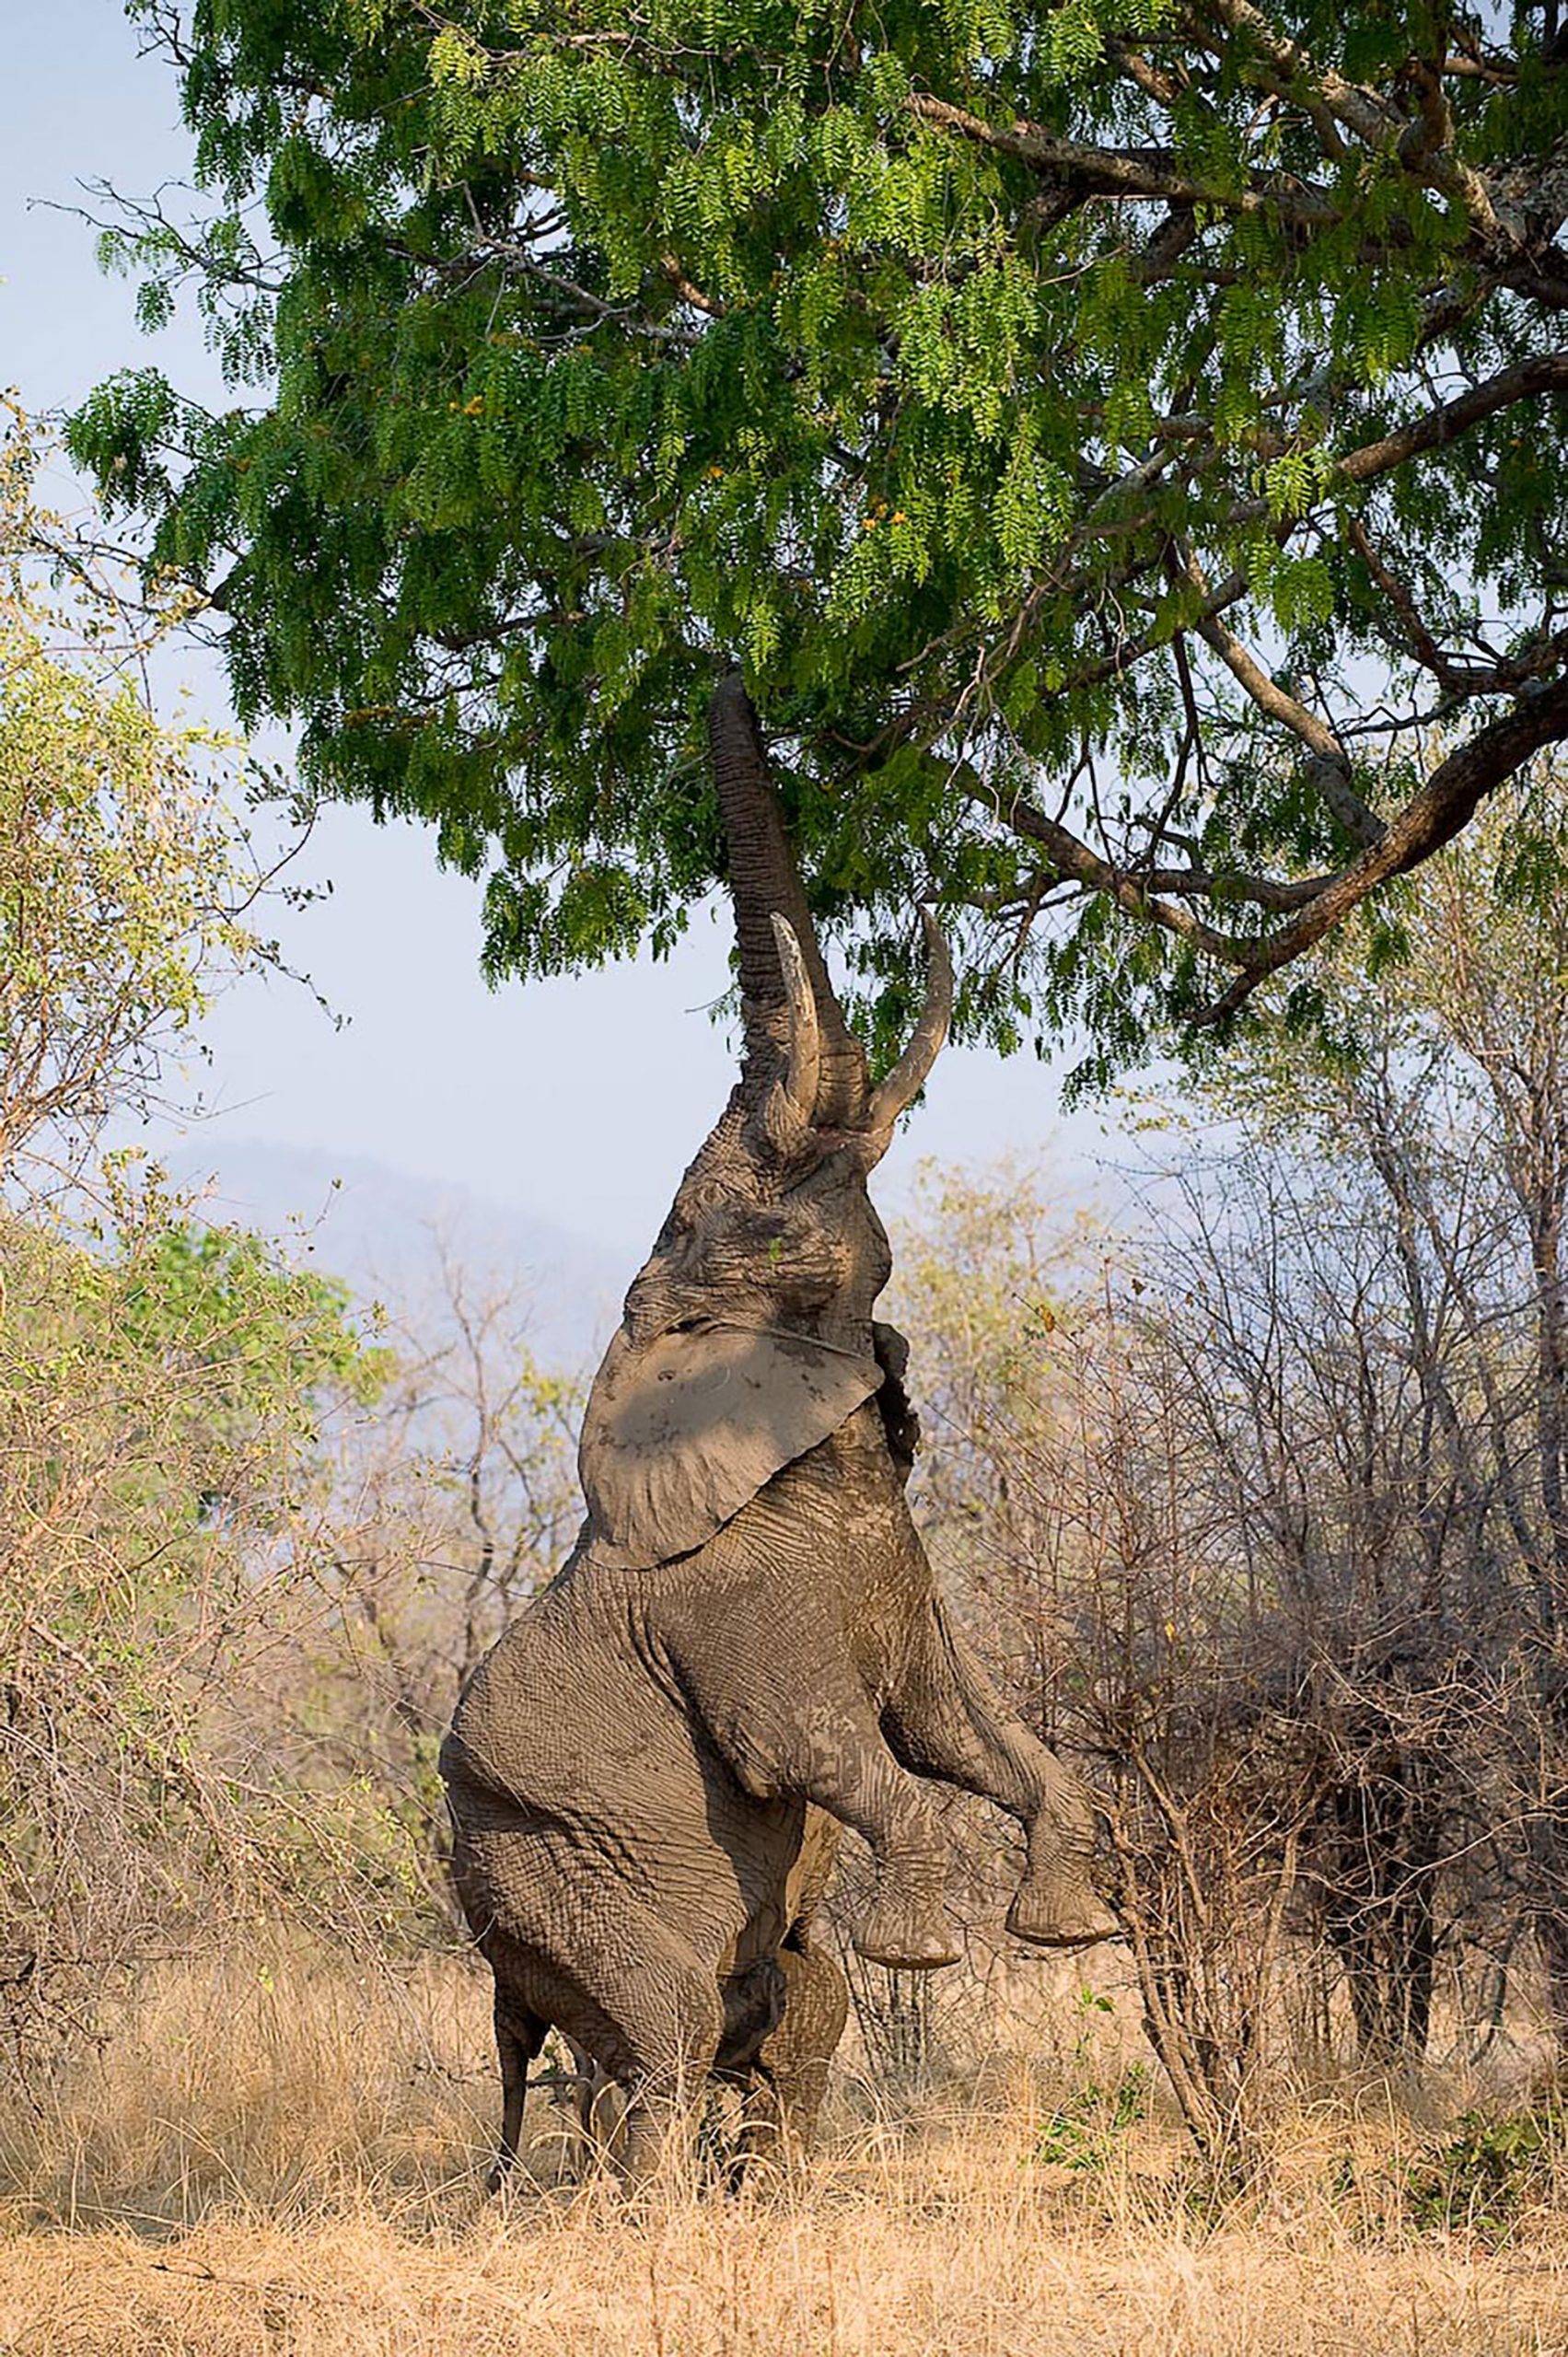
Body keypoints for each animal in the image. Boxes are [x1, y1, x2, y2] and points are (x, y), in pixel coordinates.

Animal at [440, 673, 1115, 2187]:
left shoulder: (896, 1568)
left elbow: (950, 1727)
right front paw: (926, 1949)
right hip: (551, 1885)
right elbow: (822, 1750)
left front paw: (1076, 1921)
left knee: (799, 2012)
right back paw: (652, 2214)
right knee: (664, 2032)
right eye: (722, 1223)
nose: (721, 671)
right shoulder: (730, 1608)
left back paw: (771, 2200)